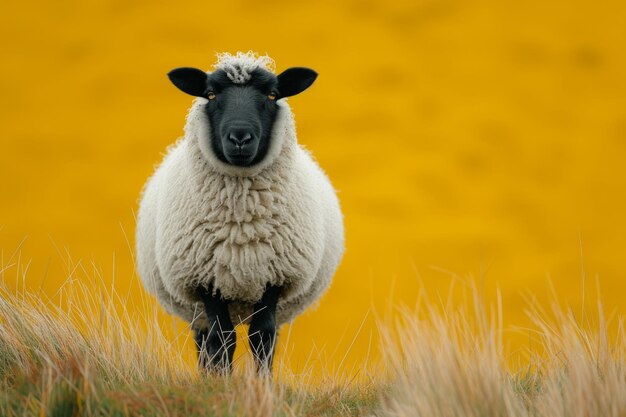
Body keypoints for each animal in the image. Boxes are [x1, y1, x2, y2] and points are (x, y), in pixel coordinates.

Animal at [133, 52, 344, 374]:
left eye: (272, 94)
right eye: (210, 94)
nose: (240, 138)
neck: (241, 224)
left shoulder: (275, 277)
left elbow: (262, 337)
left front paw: (261, 384)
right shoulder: (205, 280)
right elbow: (221, 339)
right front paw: (220, 382)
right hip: (197, 309)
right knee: (204, 341)